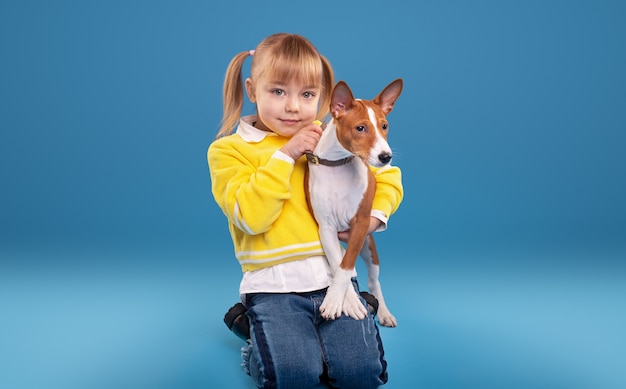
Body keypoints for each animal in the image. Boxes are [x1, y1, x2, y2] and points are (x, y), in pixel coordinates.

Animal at [304, 77, 402, 326]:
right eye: (360, 128)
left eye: (384, 126)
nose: (386, 157)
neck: (338, 165)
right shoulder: (326, 229)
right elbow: (338, 264)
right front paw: (348, 302)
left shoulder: (360, 224)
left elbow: (345, 266)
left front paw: (335, 302)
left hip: (369, 245)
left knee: (374, 281)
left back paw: (384, 312)